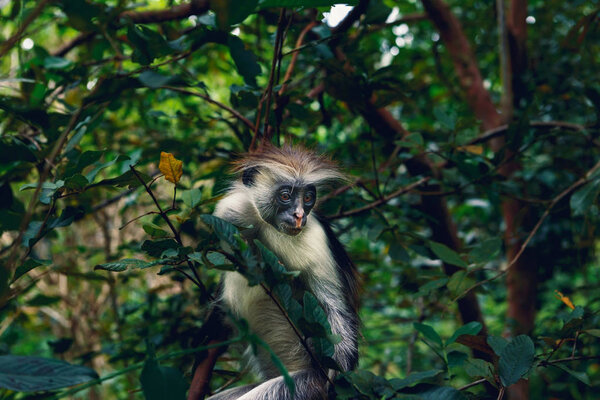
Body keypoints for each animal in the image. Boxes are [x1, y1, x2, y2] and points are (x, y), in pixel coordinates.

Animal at [206, 145, 358, 400]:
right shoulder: (232, 212)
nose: (299, 215)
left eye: (308, 198)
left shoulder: (313, 239)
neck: (262, 226)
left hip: (301, 385)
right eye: (285, 196)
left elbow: (335, 310)